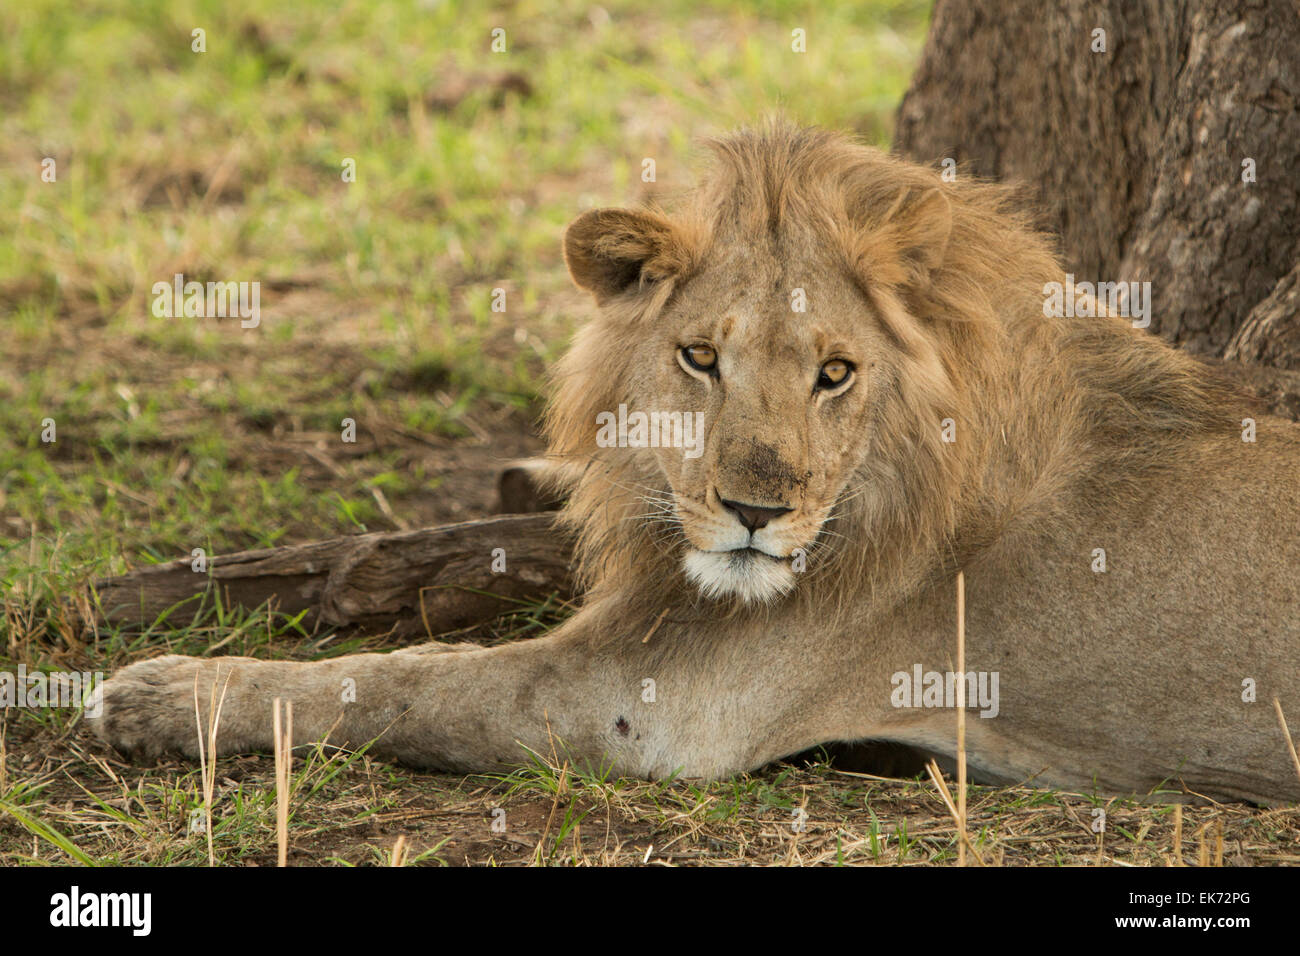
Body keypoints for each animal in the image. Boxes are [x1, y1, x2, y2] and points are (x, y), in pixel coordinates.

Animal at [91, 121, 1300, 806]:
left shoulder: (653, 707)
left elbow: (409, 685)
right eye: (699, 357)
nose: (754, 512)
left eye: (834, 372)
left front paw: (156, 692)